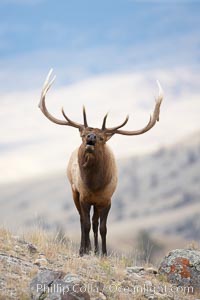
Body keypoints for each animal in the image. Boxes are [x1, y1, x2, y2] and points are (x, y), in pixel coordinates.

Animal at [38, 69, 163, 255]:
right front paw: (84, 250)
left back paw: (95, 250)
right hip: (74, 191)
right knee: (83, 221)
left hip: (96, 203)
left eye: (102, 137)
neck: (95, 185)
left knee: (95, 223)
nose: (91, 137)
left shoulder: (107, 199)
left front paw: (103, 252)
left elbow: (103, 227)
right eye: (83, 135)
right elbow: (85, 224)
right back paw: (86, 248)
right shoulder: (83, 196)